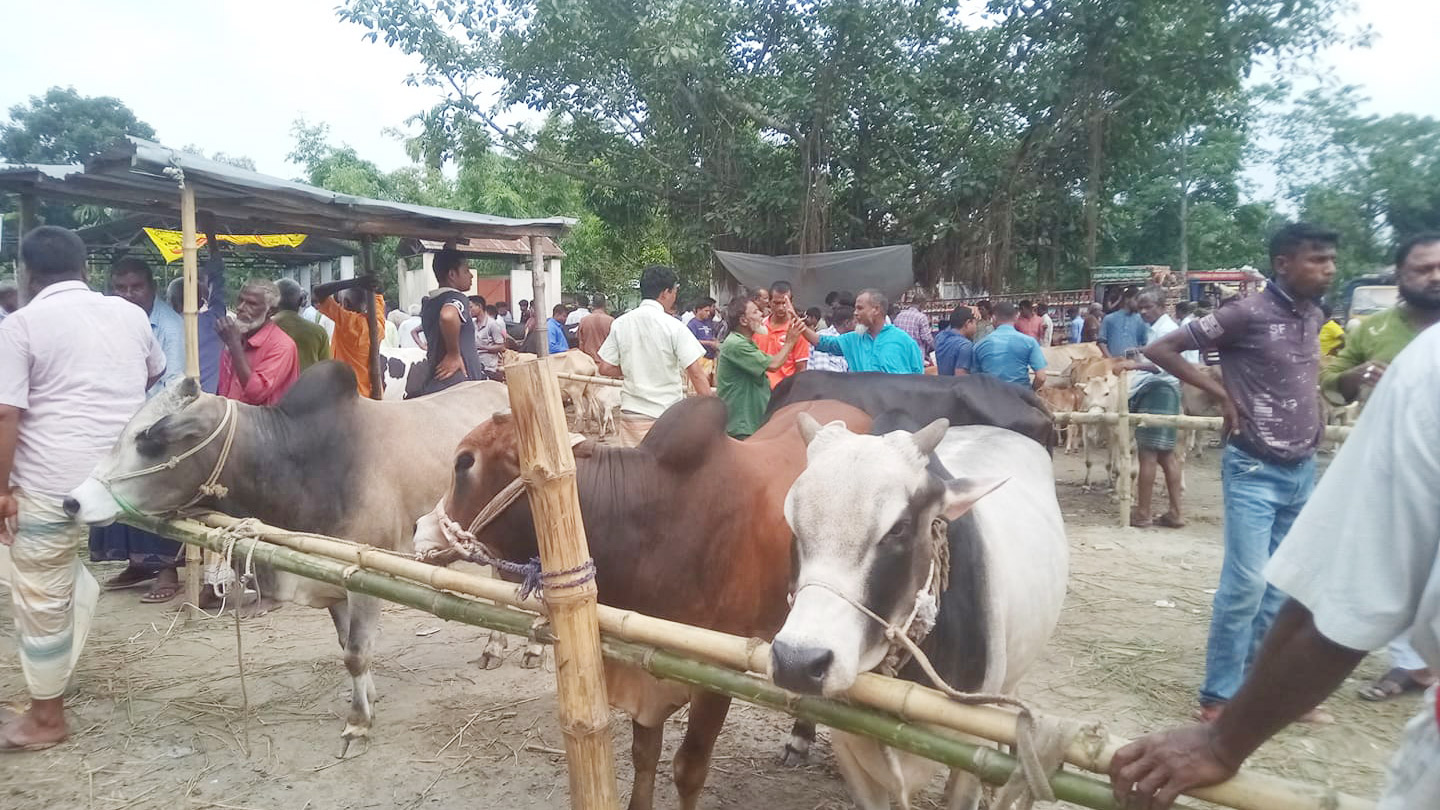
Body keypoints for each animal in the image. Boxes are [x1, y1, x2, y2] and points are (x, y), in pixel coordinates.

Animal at [411, 394, 869, 807]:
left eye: (464, 462)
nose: (419, 528)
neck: (653, 518)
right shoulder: (643, 668)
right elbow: (644, 756)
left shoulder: (716, 676)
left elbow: (688, 768)